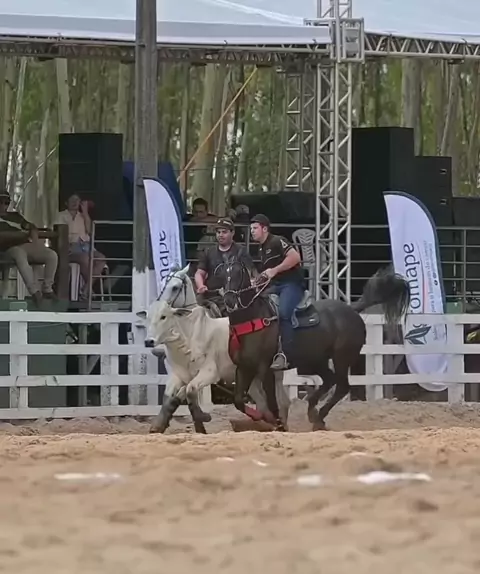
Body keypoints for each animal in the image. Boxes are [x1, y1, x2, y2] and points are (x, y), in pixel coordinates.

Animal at [222, 261, 410, 431]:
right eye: (223, 274)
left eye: (239, 274)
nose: (229, 301)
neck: (253, 320)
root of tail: (352, 309)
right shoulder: (244, 368)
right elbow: (238, 401)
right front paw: (262, 418)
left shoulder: (266, 368)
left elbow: (271, 401)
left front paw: (279, 424)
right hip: (314, 361)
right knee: (330, 379)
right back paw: (313, 411)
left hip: (341, 358)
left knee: (341, 386)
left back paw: (319, 417)